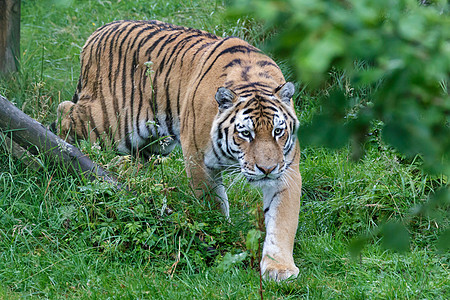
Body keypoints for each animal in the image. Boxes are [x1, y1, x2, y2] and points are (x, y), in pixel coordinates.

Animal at [55, 19, 302, 280]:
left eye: (278, 131)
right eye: (246, 133)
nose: (267, 169)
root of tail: (98, 32)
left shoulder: (286, 169)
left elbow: (282, 221)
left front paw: (279, 268)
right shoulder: (198, 160)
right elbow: (213, 205)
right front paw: (221, 236)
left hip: (152, 141)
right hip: (107, 123)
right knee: (65, 112)